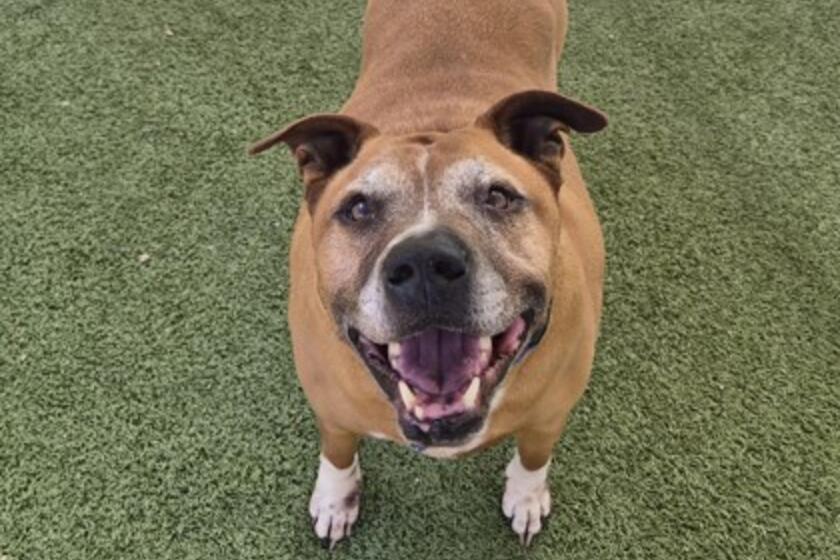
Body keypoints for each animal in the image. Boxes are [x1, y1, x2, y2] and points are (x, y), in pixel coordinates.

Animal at [250, 0, 607, 547]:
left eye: (498, 197)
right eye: (358, 208)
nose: (423, 265)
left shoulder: (551, 413)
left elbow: (533, 454)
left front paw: (526, 497)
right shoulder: (329, 405)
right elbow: (337, 448)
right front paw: (335, 498)